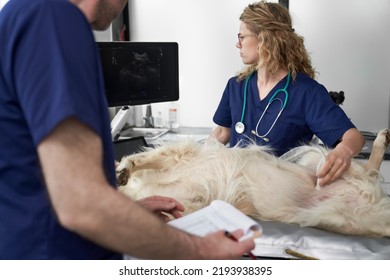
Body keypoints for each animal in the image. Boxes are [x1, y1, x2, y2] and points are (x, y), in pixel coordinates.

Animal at [116, 129, 390, 236]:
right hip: (341, 215)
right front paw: (123, 173)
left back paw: (381, 139)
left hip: (326, 167)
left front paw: (123, 170)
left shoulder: (180, 154)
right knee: (370, 171)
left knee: (368, 167)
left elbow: (141, 159)